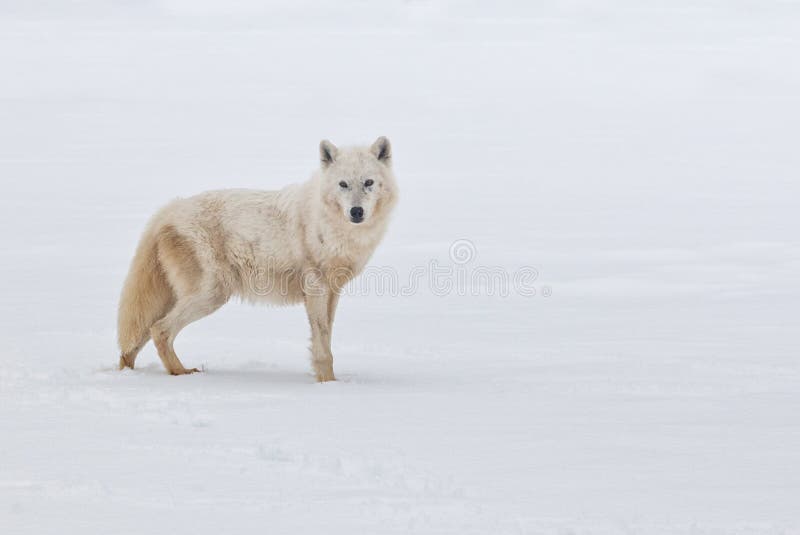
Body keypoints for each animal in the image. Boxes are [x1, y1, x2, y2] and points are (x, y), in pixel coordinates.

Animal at [115, 137, 396, 382]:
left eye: (369, 182)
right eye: (343, 184)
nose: (356, 211)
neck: (330, 224)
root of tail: (166, 211)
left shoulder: (332, 291)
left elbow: (325, 337)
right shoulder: (316, 287)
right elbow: (322, 344)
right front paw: (328, 384)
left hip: (175, 298)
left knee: (137, 337)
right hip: (212, 294)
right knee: (160, 330)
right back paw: (182, 373)